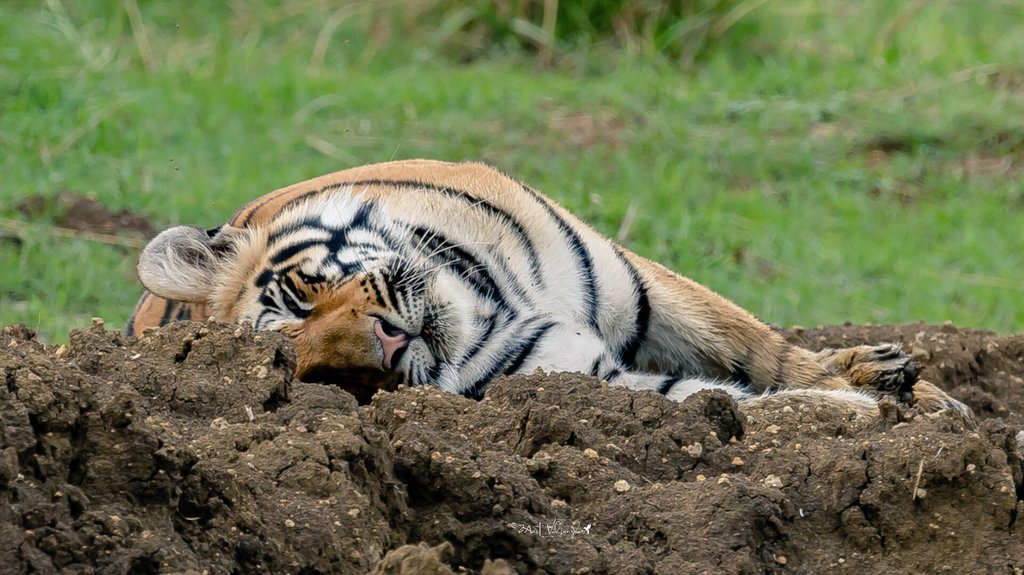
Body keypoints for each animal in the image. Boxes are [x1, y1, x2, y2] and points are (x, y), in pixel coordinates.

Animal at [128, 159, 968, 417]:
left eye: (303, 297)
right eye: (333, 379)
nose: (385, 345)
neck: (486, 300)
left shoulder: (639, 281)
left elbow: (761, 348)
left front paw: (922, 401)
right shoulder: (589, 380)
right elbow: (723, 402)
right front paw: (870, 417)